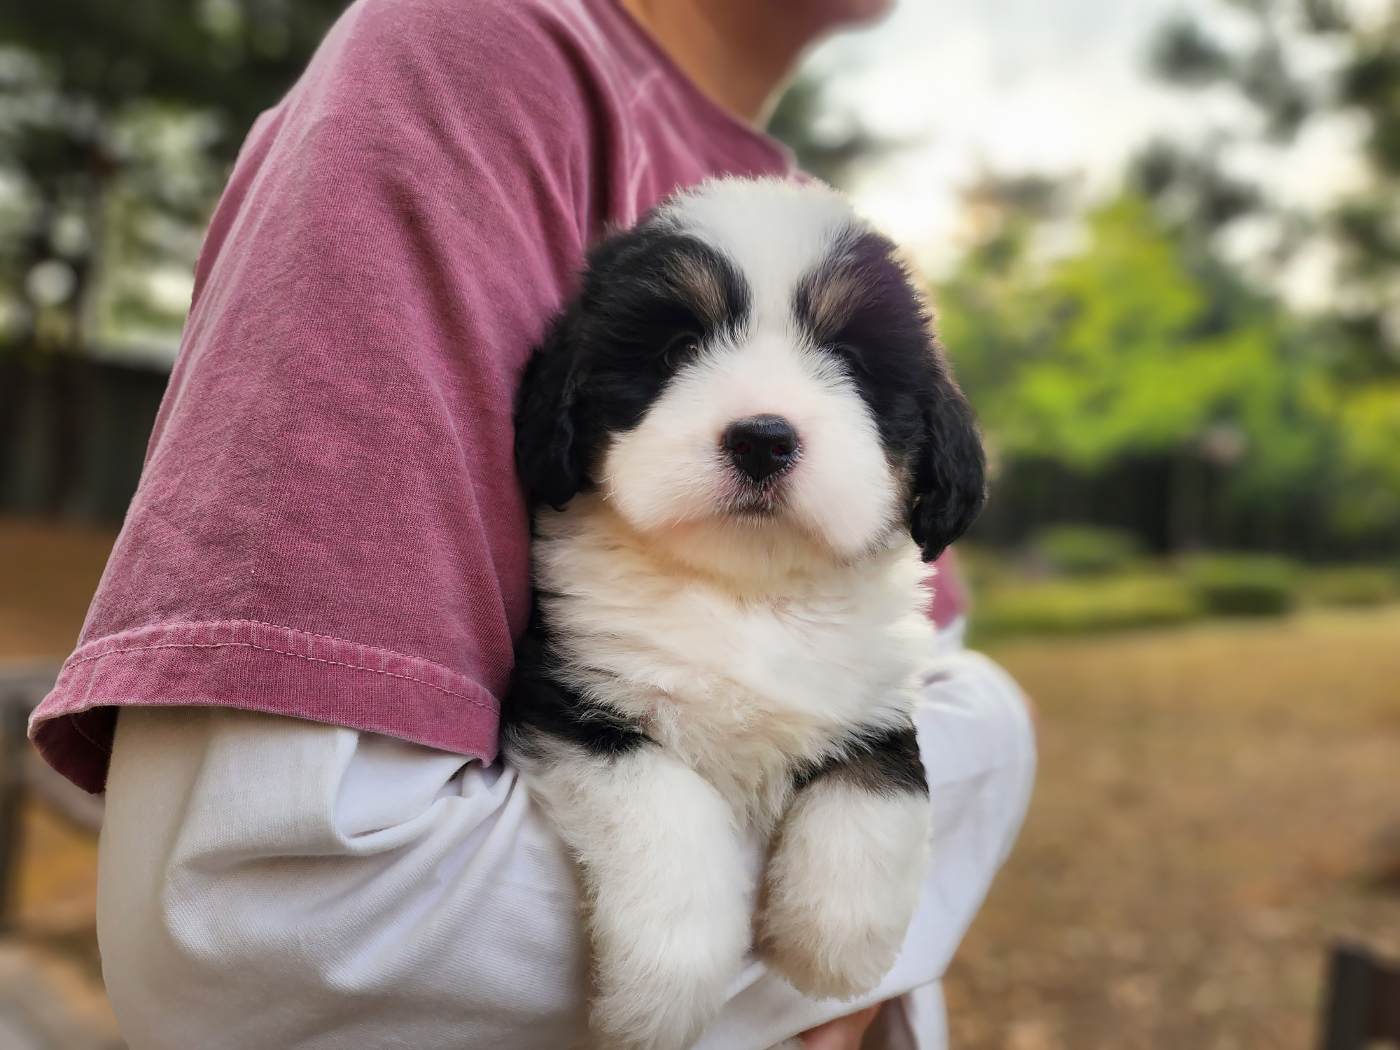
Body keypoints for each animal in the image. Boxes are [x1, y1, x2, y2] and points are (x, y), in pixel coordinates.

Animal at [505, 177, 986, 1050]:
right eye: (673, 350)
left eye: (851, 361)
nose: (762, 438)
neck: (748, 593)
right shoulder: (570, 690)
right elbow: (667, 807)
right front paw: (662, 993)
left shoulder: (875, 693)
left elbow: (881, 784)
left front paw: (833, 940)